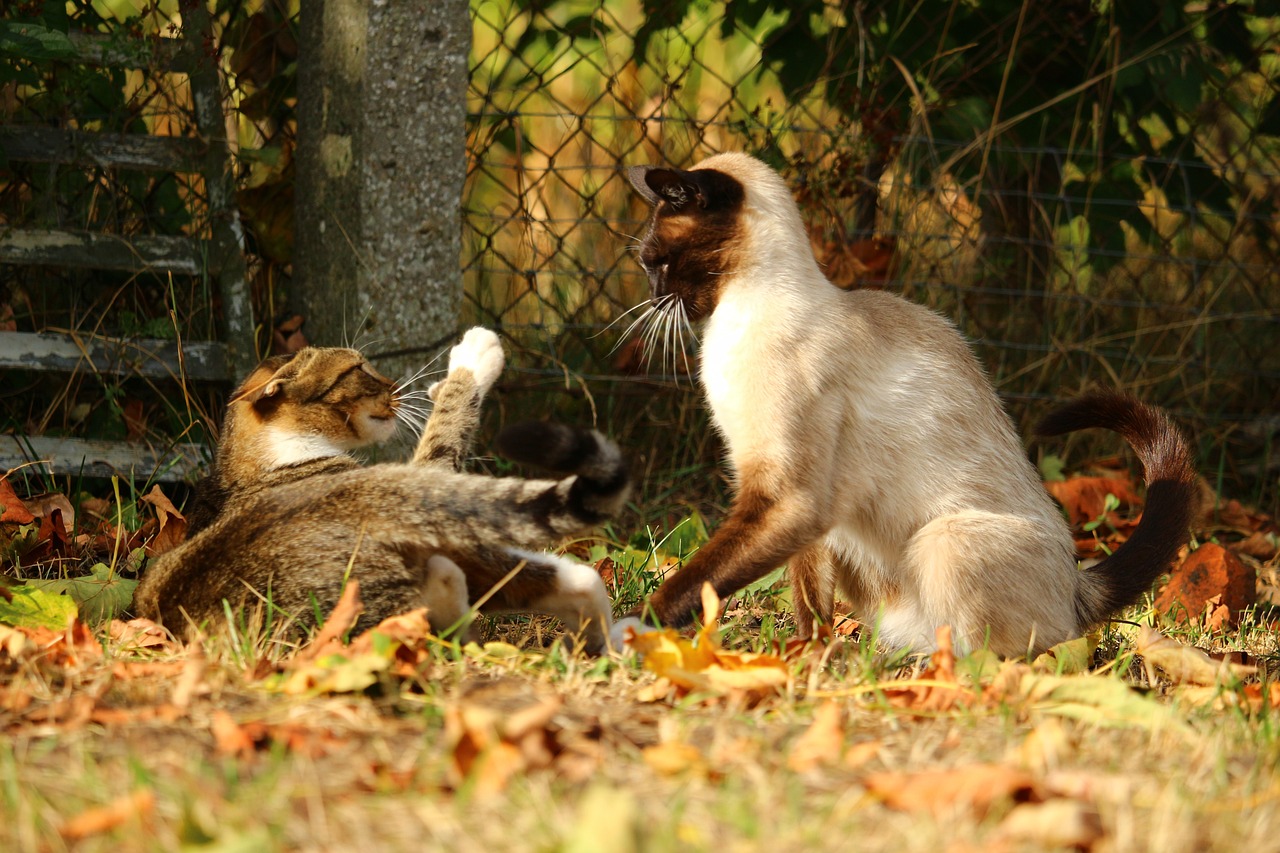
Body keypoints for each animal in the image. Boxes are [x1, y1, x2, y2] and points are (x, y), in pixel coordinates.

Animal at [619, 153, 1198, 653]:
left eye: (658, 263)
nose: (651, 297)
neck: (732, 322)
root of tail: (1078, 587)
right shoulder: (797, 510)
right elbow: (809, 603)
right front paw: (804, 659)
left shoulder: (787, 496)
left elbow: (697, 580)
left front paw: (636, 630)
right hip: (856, 546)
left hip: (944, 539)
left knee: (1011, 656)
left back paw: (931, 676)